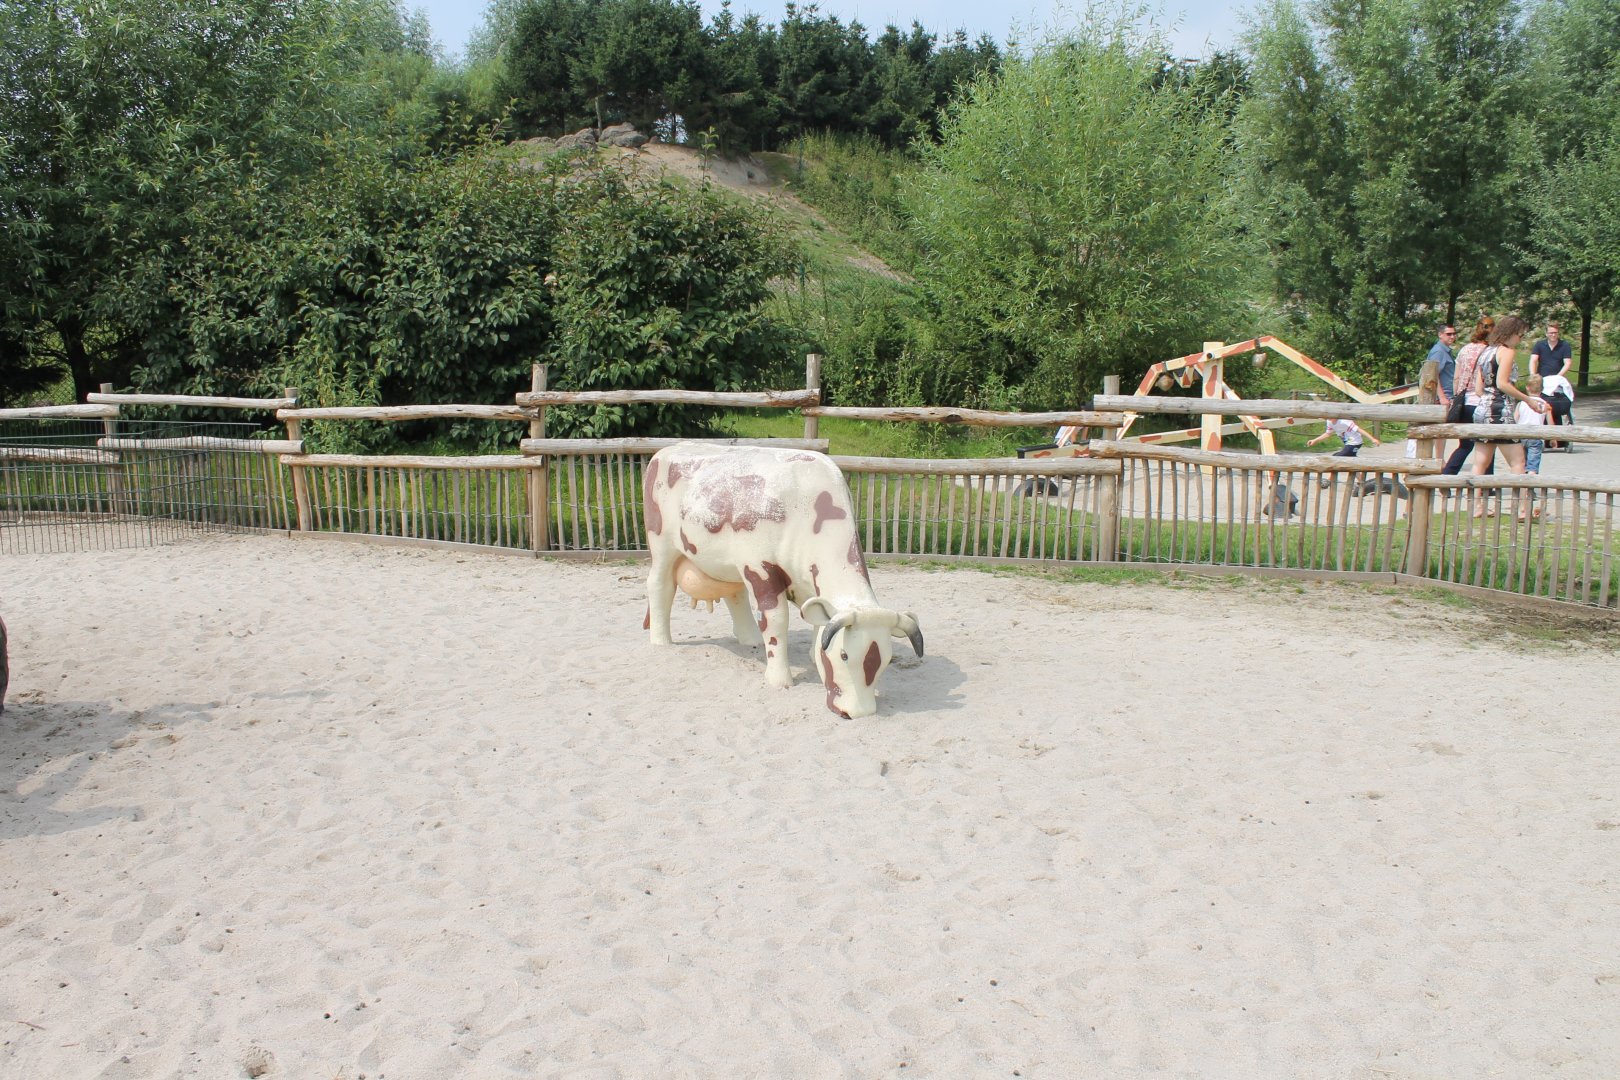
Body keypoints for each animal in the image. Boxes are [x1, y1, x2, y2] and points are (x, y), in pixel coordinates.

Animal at [643, 443, 922, 718]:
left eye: (886, 659)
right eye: (844, 655)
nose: (857, 712)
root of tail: (668, 449)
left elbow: (815, 621)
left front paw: (813, 657)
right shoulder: (759, 567)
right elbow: (775, 620)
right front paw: (779, 679)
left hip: (729, 562)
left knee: (736, 595)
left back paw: (751, 638)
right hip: (662, 545)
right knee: (659, 586)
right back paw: (661, 640)